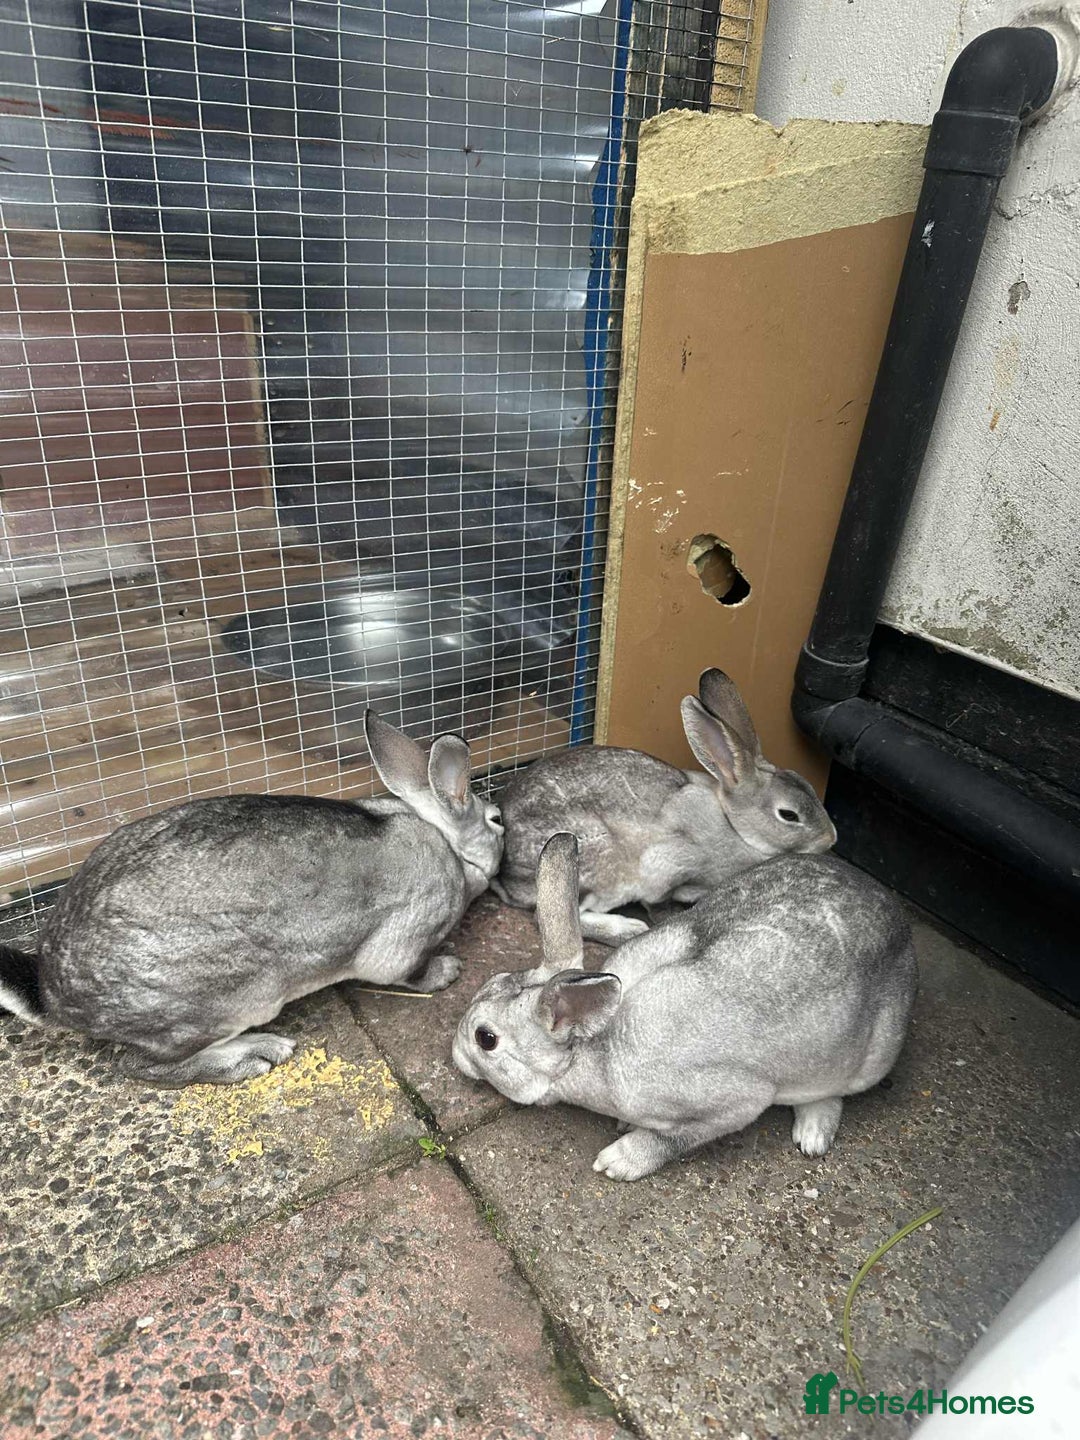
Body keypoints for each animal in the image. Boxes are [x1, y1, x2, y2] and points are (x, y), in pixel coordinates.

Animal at [0, 712, 503, 1086]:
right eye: (497, 820)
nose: (505, 833)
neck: (448, 844)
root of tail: (52, 995)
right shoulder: (403, 944)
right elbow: (408, 973)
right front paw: (447, 970)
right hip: (228, 1002)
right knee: (140, 1066)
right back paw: (259, 1053)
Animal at [454, 832, 916, 1181]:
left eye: (486, 1038)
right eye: (492, 981)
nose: (455, 1053)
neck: (599, 1045)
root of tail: (900, 919)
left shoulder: (734, 1104)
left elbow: (671, 1140)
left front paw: (617, 1161)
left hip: (861, 1059)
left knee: (832, 1094)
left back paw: (812, 1137)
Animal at [494, 667, 835, 943]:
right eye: (789, 815)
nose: (831, 839)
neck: (736, 829)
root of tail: (506, 874)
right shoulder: (665, 867)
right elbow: (658, 902)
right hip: (597, 863)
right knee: (555, 914)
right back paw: (627, 930)